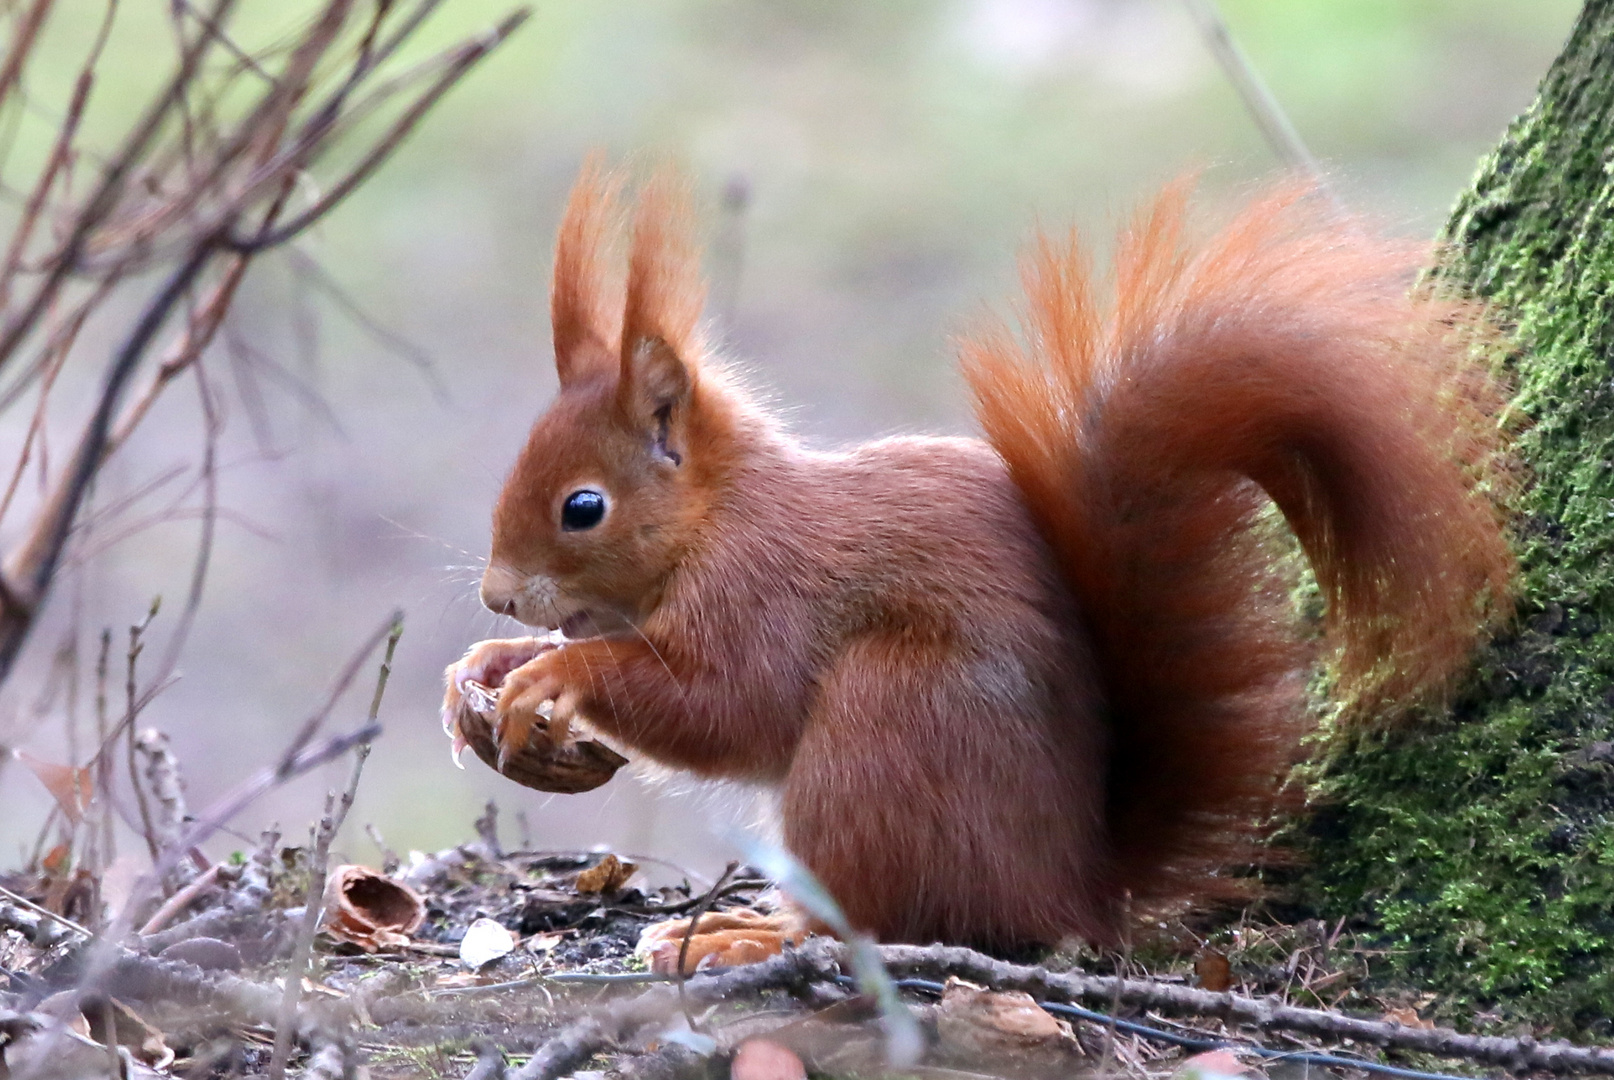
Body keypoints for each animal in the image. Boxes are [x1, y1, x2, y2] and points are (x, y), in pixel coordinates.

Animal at [442, 164, 1510, 949]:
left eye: (584, 507)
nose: (497, 597)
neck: (718, 517)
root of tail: (1067, 890)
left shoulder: (766, 589)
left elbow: (727, 703)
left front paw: (557, 674)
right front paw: (484, 671)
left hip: (889, 723)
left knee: (878, 922)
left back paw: (752, 939)